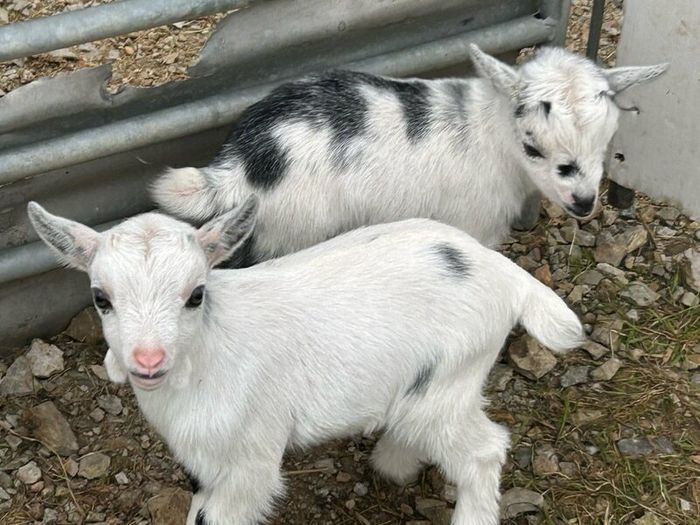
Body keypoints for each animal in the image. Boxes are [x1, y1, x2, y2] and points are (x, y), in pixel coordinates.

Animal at [29, 196, 583, 525]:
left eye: (196, 294)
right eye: (101, 298)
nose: (148, 359)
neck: (203, 362)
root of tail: (503, 271)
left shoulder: (250, 457)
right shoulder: (204, 462)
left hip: (448, 379)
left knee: (483, 452)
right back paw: (392, 463)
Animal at [152, 45, 667, 266]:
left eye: (608, 143)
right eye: (532, 146)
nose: (583, 202)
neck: (486, 131)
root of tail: (241, 163)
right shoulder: (470, 224)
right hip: (294, 232)